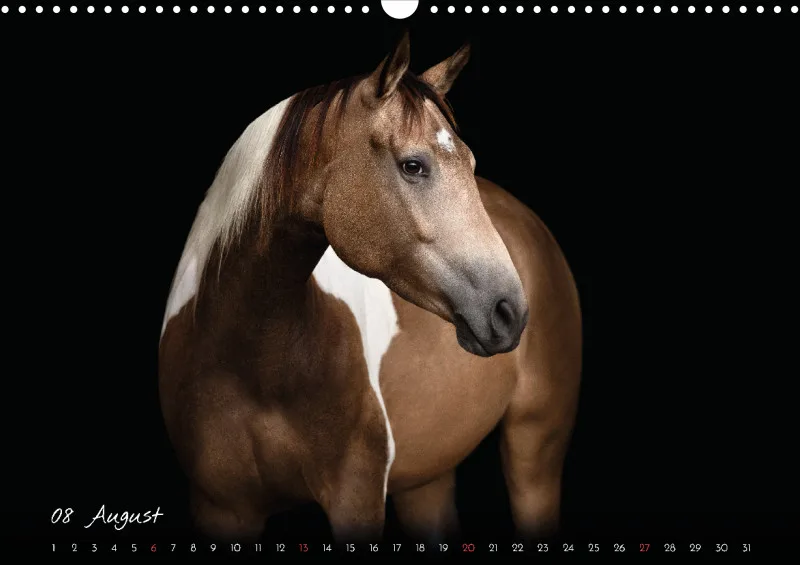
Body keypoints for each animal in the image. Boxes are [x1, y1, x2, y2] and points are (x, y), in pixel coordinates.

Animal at [158, 33, 581, 544]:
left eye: (469, 163)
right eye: (413, 165)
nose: (509, 310)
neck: (253, 365)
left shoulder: (355, 499)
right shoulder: (221, 509)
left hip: (535, 447)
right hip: (426, 479)